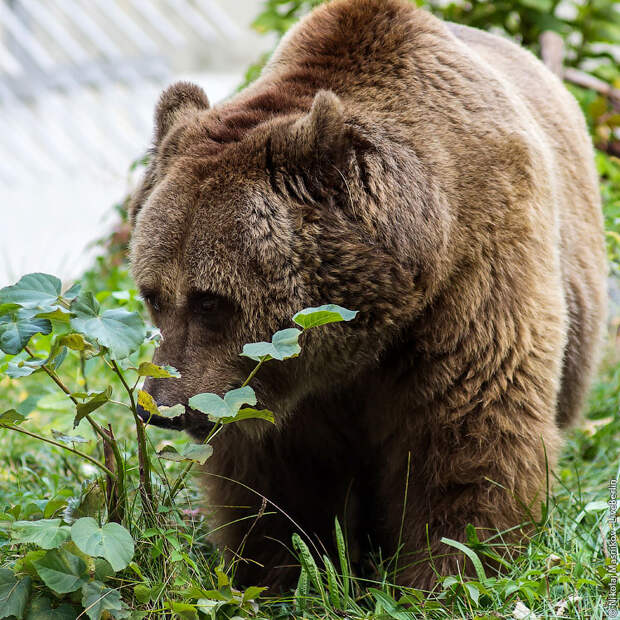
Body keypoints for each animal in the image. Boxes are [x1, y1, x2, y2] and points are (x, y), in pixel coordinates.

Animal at [126, 0, 604, 592]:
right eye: (152, 294)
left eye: (209, 300)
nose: (158, 407)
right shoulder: (273, 384)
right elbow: (278, 478)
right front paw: (283, 571)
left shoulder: (474, 277)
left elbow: (466, 431)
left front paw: (447, 571)